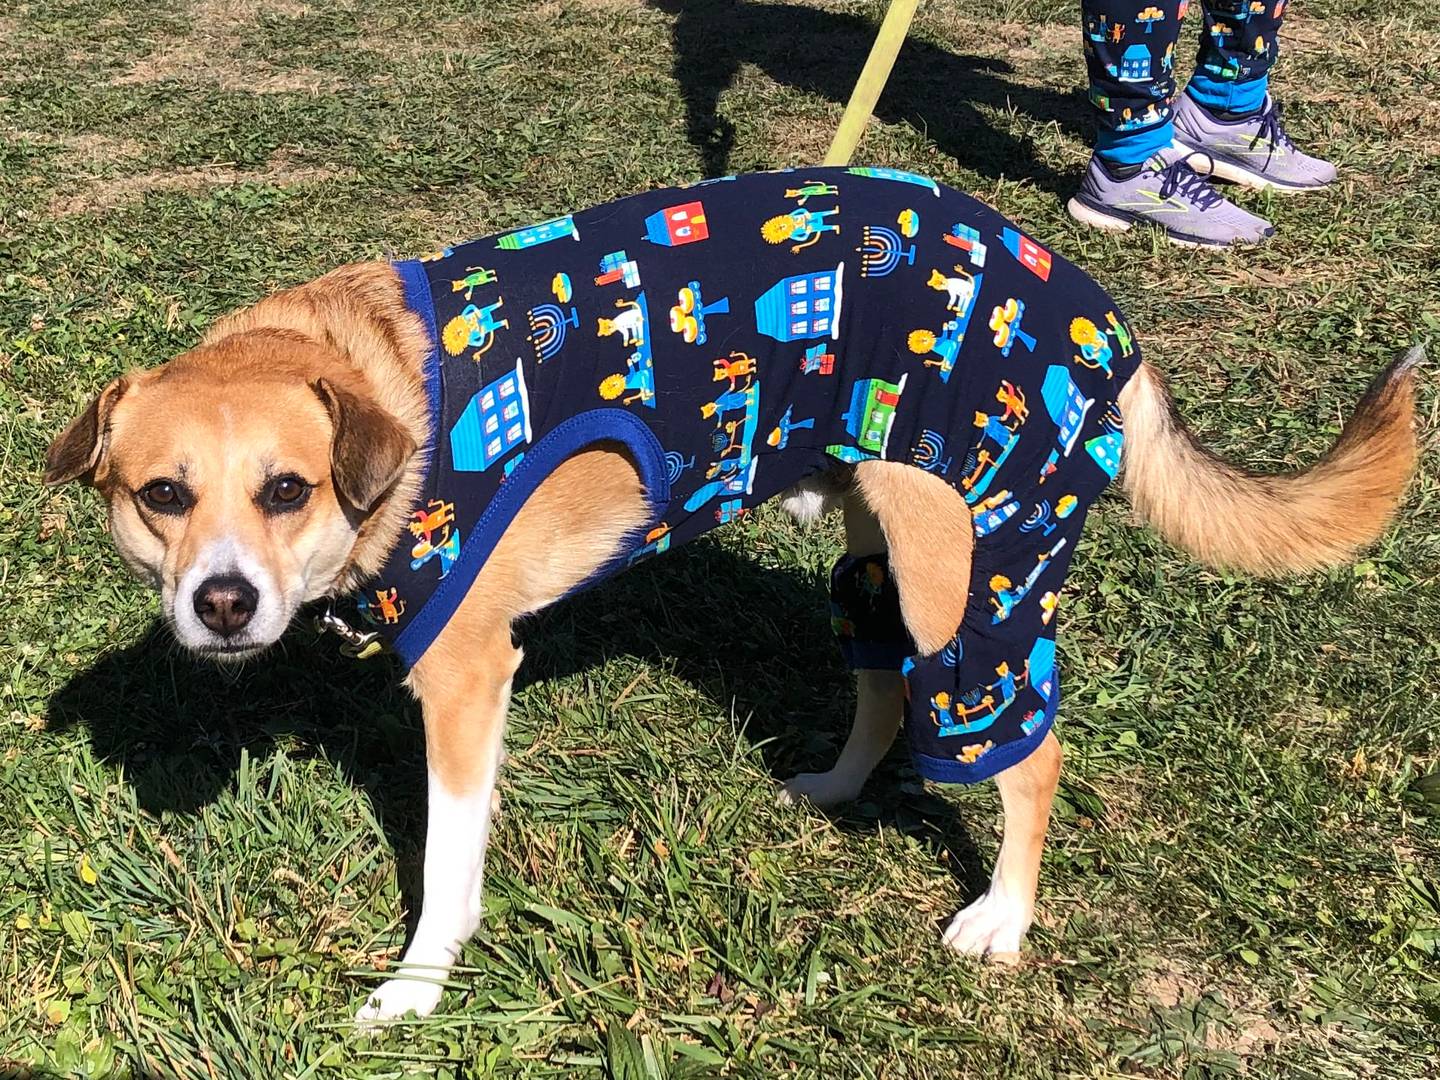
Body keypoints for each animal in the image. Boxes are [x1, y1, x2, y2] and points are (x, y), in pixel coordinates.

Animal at [45, 169, 1416, 1025]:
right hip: (875, 545)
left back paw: (1004, 919)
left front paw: (420, 986)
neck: (380, 392)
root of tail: (1099, 313)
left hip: (971, 578)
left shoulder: (468, 676)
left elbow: (446, 864)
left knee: (1025, 752)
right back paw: (837, 786)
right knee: (878, 681)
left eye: (285, 490)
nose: (224, 604)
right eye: (162, 496)